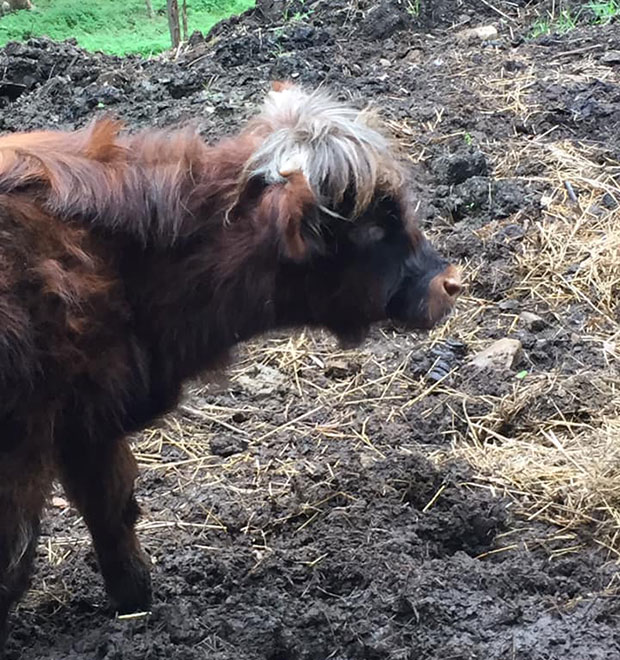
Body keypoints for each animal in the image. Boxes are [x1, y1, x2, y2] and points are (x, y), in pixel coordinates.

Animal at [0, 84, 460, 648]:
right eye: (373, 226)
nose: (451, 282)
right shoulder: (25, 446)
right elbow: (15, 560)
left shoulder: (87, 420)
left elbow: (113, 511)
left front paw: (136, 607)